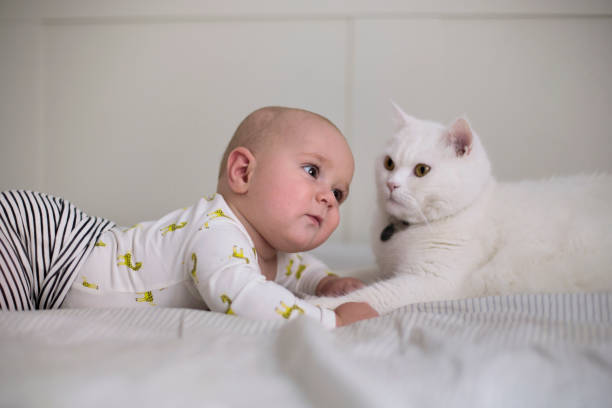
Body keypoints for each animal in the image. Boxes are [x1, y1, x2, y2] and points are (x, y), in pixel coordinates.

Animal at [310, 103, 612, 314]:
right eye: (389, 163)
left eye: (422, 170)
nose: (391, 184)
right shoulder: (385, 268)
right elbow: (348, 272)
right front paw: (333, 281)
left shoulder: (430, 281)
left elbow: (370, 295)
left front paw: (320, 304)